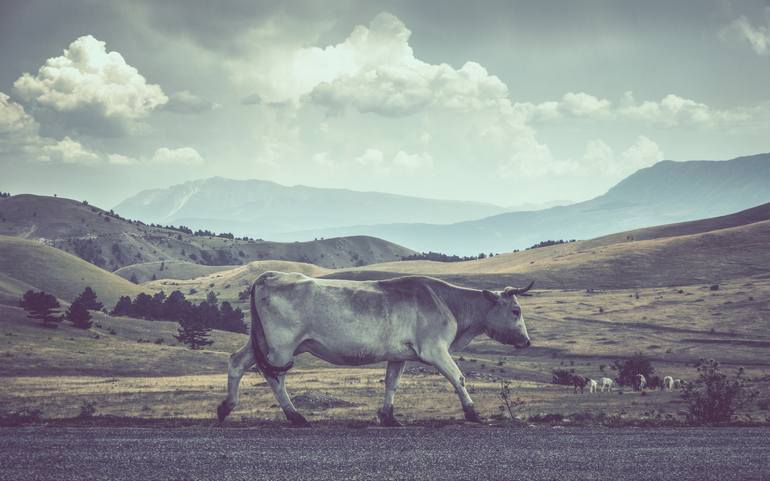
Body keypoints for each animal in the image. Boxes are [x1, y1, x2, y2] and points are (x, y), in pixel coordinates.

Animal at [213, 272, 532, 426]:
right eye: (516, 310)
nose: (527, 342)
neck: (449, 303)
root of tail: (269, 275)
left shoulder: (399, 356)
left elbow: (391, 384)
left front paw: (388, 416)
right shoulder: (435, 349)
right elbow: (458, 378)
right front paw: (472, 413)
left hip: (260, 341)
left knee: (237, 362)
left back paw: (225, 408)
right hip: (282, 346)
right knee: (275, 376)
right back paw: (296, 417)